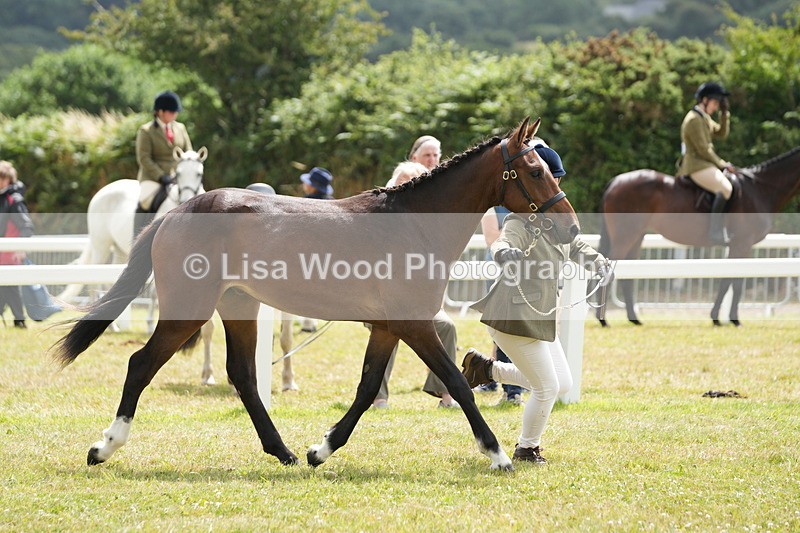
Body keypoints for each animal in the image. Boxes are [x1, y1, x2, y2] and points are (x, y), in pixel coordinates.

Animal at [52, 117, 580, 471]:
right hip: (189, 310)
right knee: (141, 364)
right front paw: (497, 454)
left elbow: (368, 387)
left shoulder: (388, 327)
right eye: (535, 171)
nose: (571, 227)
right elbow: (455, 382)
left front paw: (319, 450)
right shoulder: (413, 324)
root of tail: (179, 211)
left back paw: (283, 452)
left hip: (239, 306)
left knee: (243, 376)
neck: (413, 224)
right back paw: (104, 447)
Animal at [597, 146, 800, 326]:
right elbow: (735, 282)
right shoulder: (742, 243)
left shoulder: (737, 246)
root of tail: (615, 181)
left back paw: (633, 319)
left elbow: (727, 280)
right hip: (625, 237)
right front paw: (732, 319)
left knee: (627, 276)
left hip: (637, 236)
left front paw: (718, 318)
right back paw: (603, 320)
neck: (760, 191)